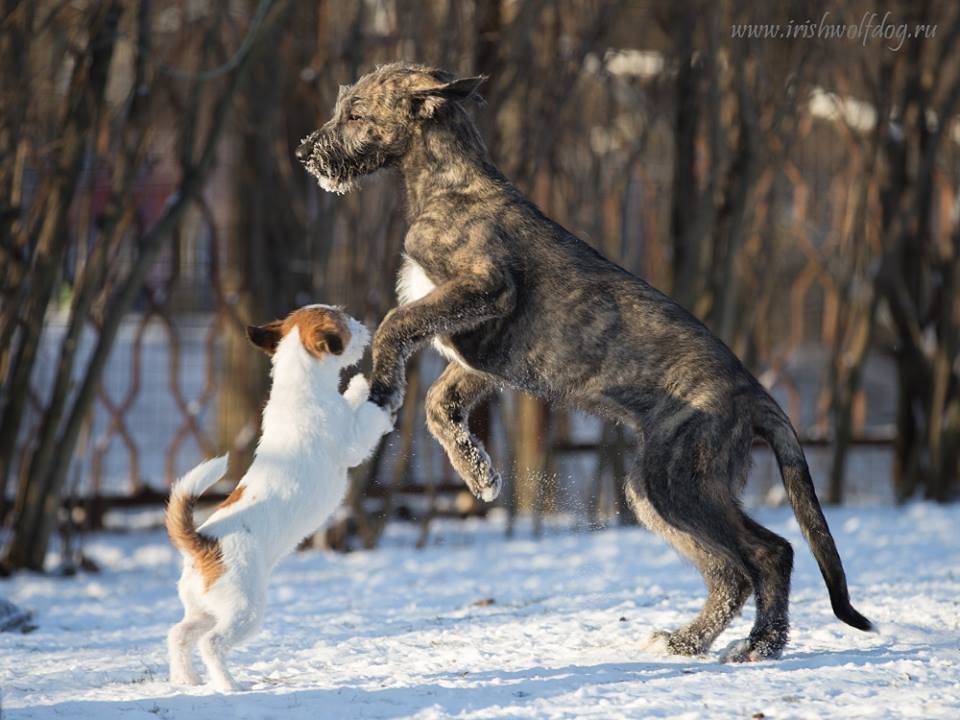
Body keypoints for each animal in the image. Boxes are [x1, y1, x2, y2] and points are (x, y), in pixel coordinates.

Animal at [166, 304, 394, 692]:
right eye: (346, 323)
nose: (366, 326)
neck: (300, 386)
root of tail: (202, 543)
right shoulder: (352, 443)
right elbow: (365, 414)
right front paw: (362, 386)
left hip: (204, 609)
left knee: (178, 635)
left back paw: (187, 680)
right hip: (244, 610)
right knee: (210, 643)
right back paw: (227, 685)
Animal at [296, 62, 872, 664]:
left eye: (355, 115)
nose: (305, 153)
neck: (446, 181)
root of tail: (755, 394)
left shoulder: (485, 287)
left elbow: (394, 322)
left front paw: (382, 388)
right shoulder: (477, 354)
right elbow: (438, 402)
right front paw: (479, 473)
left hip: (680, 480)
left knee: (769, 552)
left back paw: (760, 646)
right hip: (653, 491)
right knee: (728, 572)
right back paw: (686, 641)